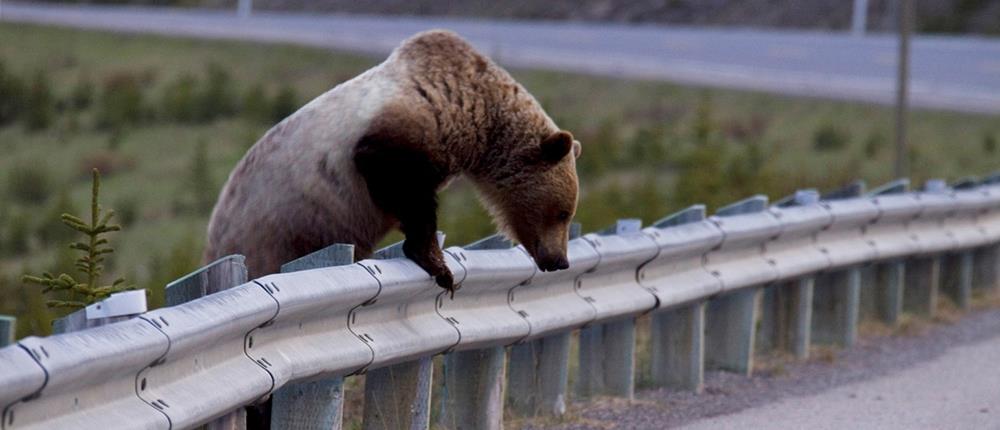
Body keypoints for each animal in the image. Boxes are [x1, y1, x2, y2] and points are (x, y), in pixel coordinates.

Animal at [203, 29, 580, 292]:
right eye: (563, 212)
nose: (559, 261)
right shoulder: (400, 131)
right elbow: (400, 185)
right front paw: (438, 265)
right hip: (275, 232)